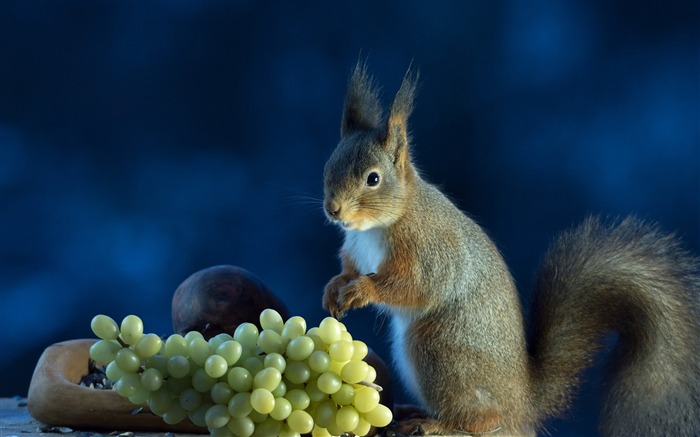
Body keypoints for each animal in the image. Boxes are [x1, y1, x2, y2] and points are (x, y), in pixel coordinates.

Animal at [322, 62, 700, 436]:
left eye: (373, 178)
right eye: (328, 167)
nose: (333, 210)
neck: (378, 225)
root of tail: (521, 406)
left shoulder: (429, 250)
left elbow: (415, 287)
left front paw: (363, 290)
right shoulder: (356, 250)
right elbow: (350, 269)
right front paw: (335, 287)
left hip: (439, 350)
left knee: (485, 421)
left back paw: (437, 424)